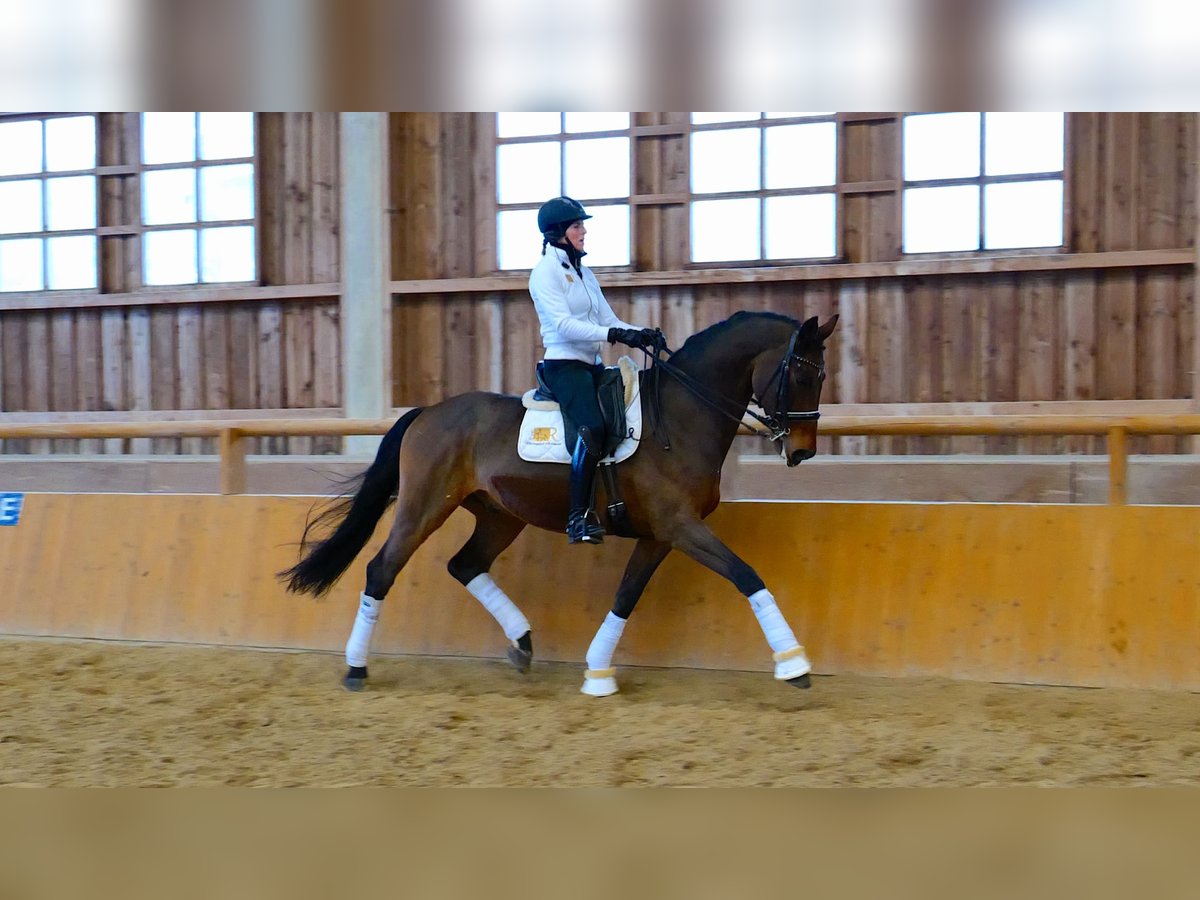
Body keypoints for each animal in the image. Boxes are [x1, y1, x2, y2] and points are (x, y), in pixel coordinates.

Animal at [278, 314, 844, 700]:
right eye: (801, 375)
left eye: (820, 376)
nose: (802, 451)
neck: (681, 418)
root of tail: (428, 413)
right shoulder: (679, 526)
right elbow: (747, 575)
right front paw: (793, 664)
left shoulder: (660, 534)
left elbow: (626, 595)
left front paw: (598, 672)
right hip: (424, 506)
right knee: (382, 569)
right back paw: (356, 668)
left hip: (500, 515)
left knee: (465, 565)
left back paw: (523, 643)